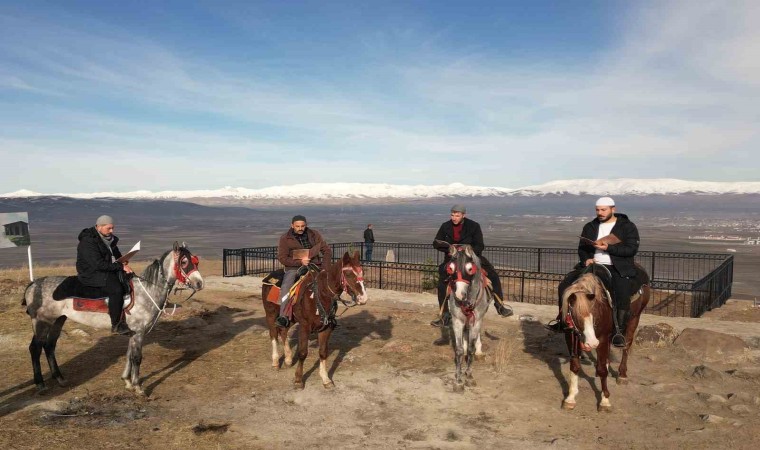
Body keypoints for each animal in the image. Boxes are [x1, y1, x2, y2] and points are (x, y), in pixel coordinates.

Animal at [23, 243, 205, 394]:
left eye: (195, 261)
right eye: (183, 262)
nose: (199, 283)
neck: (147, 290)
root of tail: (33, 285)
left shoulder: (133, 333)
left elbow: (129, 355)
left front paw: (127, 381)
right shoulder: (139, 333)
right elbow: (137, 358)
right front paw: (138, 387)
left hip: (58, 321)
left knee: (49, 346)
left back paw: (60, 379)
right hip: (42, 322)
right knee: (35, 348)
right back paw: (40, 384)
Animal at [262, 251, 368, 388]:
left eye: (362, 272)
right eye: (349, 274)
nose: (363, 298)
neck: (319, 294)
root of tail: (269, 277)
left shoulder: (326, 328)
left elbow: (323, 352)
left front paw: (326, 379)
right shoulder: (304, 326)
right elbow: (302, 353)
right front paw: (298, 379)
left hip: (290, 318)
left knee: (283, 331)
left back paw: (288, 359)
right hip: (270, 314)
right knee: (274, 334)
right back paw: (275, 362)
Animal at [440, 241, 492, 392]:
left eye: (470, 269)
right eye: (450, 268)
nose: (459, 295)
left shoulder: (476, 321)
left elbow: (471, 349)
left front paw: (469, 376)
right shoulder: (457, 321)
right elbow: (458, 350)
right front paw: (458, 380)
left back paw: (479, 350)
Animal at [560, 264, 652, 412]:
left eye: (595, 312)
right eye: (576, 316)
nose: (591, 343)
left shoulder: (602, 337)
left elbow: (602, 370)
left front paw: (605, 400)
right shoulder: (570, 335)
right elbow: (574, 366)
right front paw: (570, 397)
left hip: (634, 319)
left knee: (626, 347)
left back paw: (622, 375)